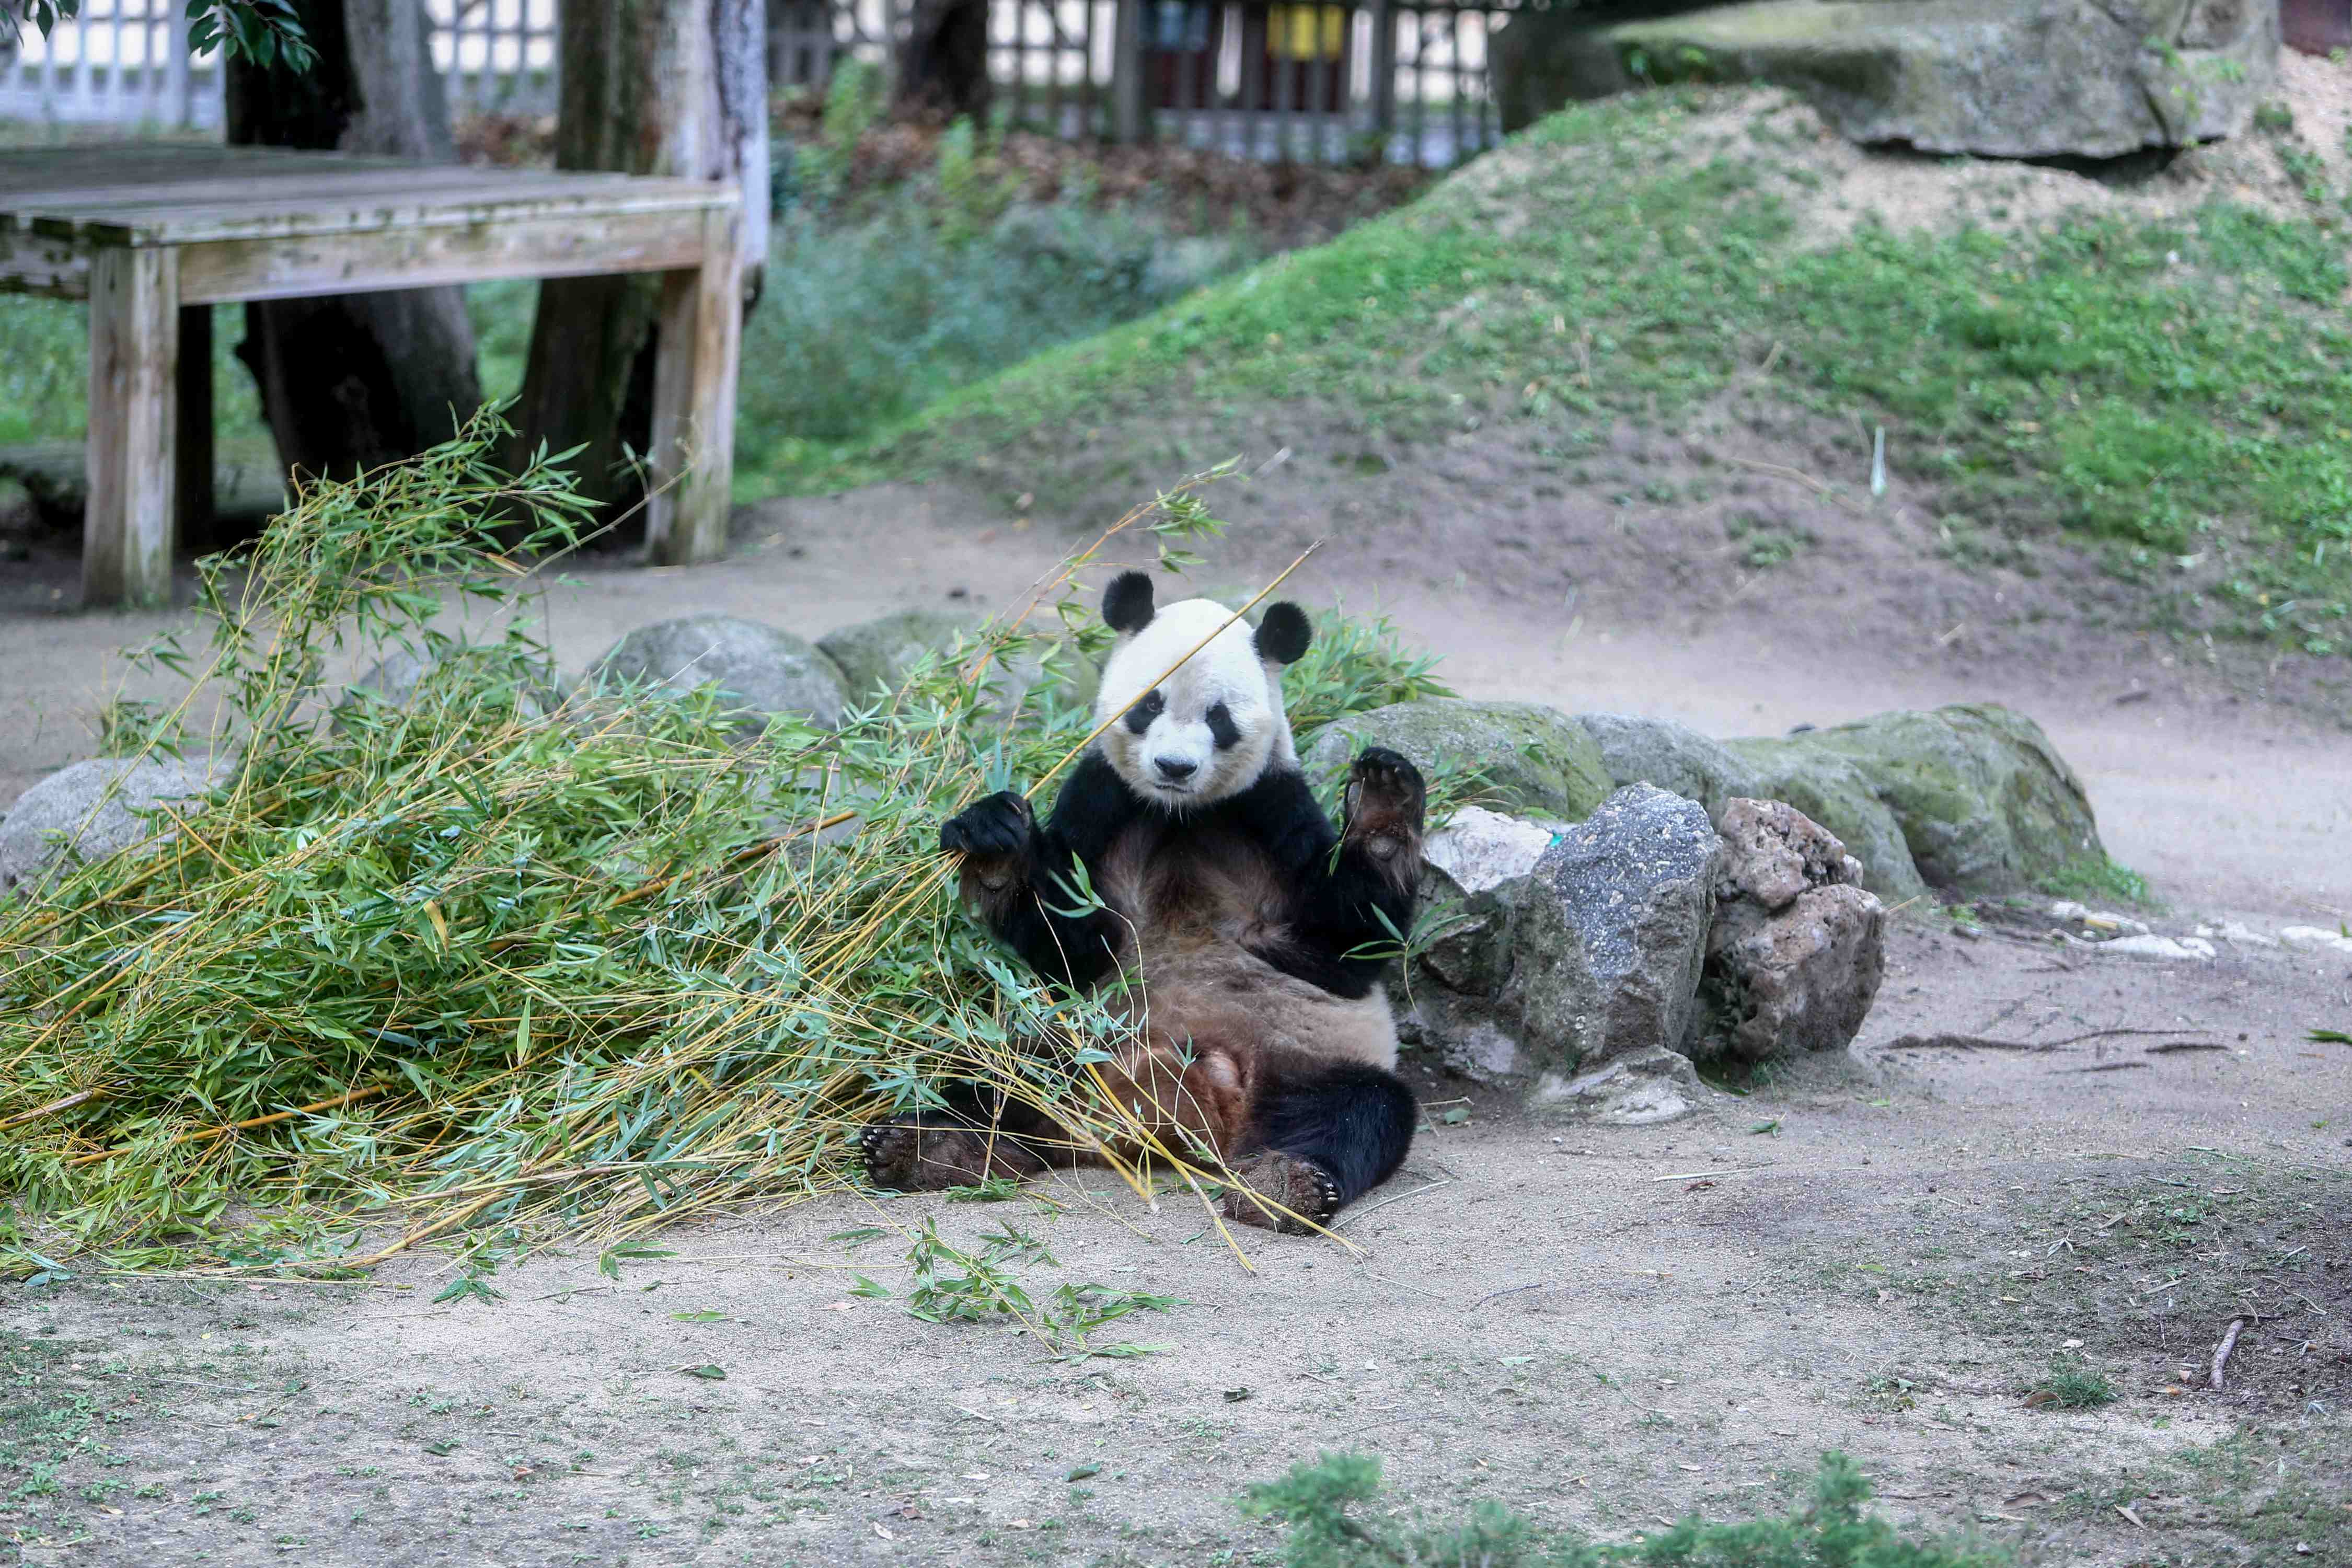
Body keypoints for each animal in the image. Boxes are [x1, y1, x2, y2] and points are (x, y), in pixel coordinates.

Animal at [861, 571, 1421, 1231]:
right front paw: (997, 843)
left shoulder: (1272, 807)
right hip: (1066, 1045)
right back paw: (927, 1148)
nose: (1174, 767)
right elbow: (1070, 946)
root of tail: (1172, 1116)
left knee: (1356, 1111)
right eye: (1150, 704)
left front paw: (1383, 803)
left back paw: (1287, 1183)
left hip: (1306, 1060)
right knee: (986, 1074)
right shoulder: (1104, 800)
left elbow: (1347, 943)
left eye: (1218, 717)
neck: (1180, 814)